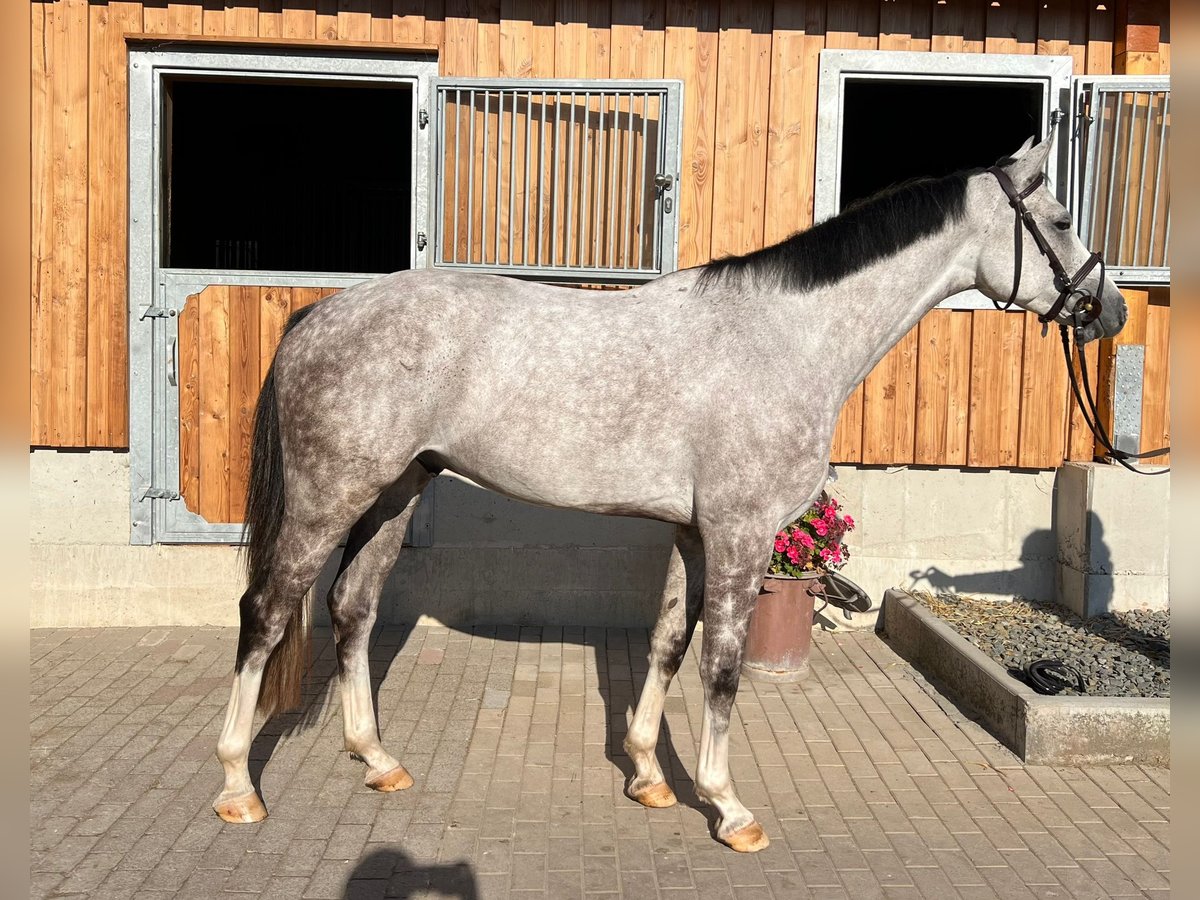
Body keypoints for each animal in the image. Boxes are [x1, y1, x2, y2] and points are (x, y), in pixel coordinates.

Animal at [213, 139, 1123, 854]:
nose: (1106, 309)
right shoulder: (741, 533)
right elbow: (721, 668)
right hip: (330, 496)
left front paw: (650, 774)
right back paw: (237, 788)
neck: (784, 338)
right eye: (1062, 218)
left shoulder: (693, 533)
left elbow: (665, 645)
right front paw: (728, 807)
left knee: (352, 609)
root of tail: (321, 315)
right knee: (265, 612)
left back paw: (377, 760)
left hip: (395, 492)